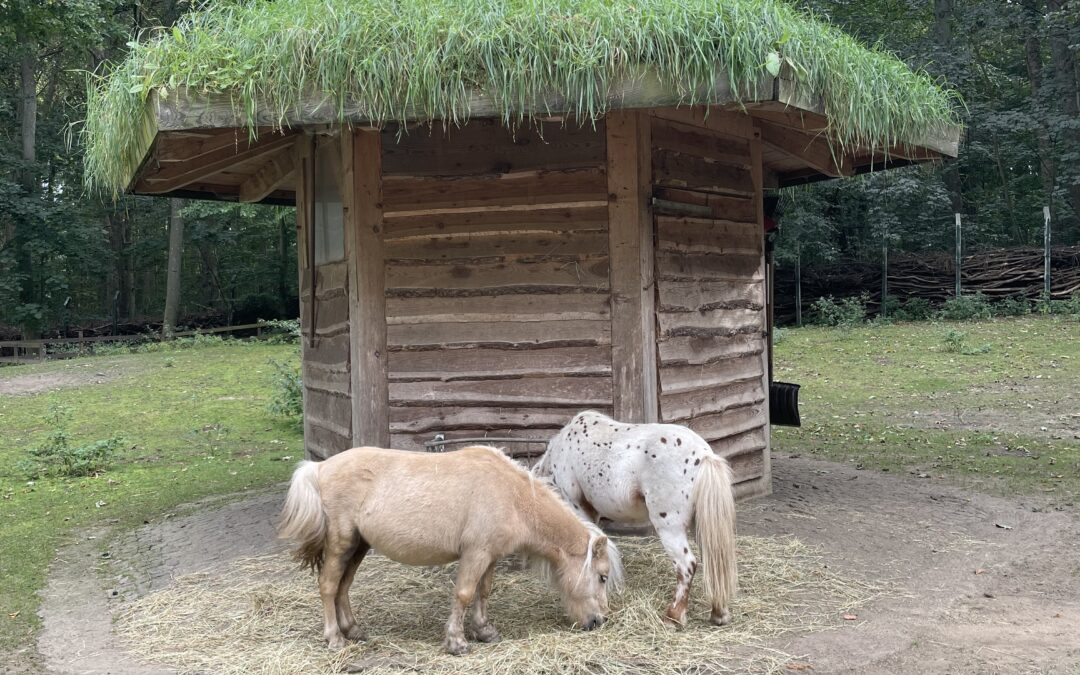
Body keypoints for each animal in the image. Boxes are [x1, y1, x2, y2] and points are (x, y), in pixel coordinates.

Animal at [276, 442, 626, 652]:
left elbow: (484, 592)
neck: (512, 495)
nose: (599, 622)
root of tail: (319, 468)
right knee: (328, 586)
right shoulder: (475, 553)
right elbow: (465, 594)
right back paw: (335, 638)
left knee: (343, 586)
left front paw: (484, 631)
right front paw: (457, 641)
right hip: (341, 543)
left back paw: (353, 630)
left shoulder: (491, 556)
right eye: (602, 577)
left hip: (358, 547)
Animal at [535, 410, 738, 626]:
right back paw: (719, 613)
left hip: (670, 527)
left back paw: (673, 617)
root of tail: (704, 455)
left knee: (686, 565)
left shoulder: (577, 506)